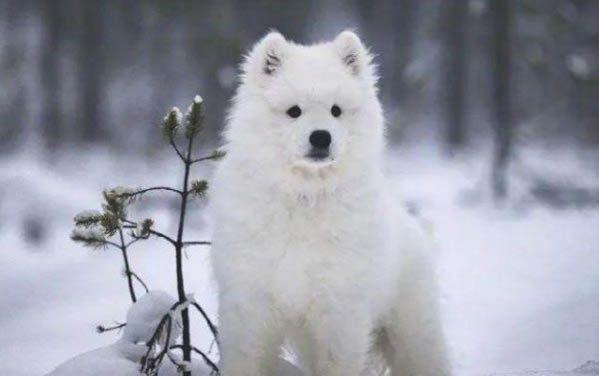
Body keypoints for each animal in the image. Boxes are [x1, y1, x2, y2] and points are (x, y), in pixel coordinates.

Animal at [209, 30, 448, 376]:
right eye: (294, 111)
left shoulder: (339, 311)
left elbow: (338, 362)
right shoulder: (249, 305)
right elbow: (244, 360)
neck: (304, 195)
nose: (321, 137)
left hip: (413, 334)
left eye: (336, 110)